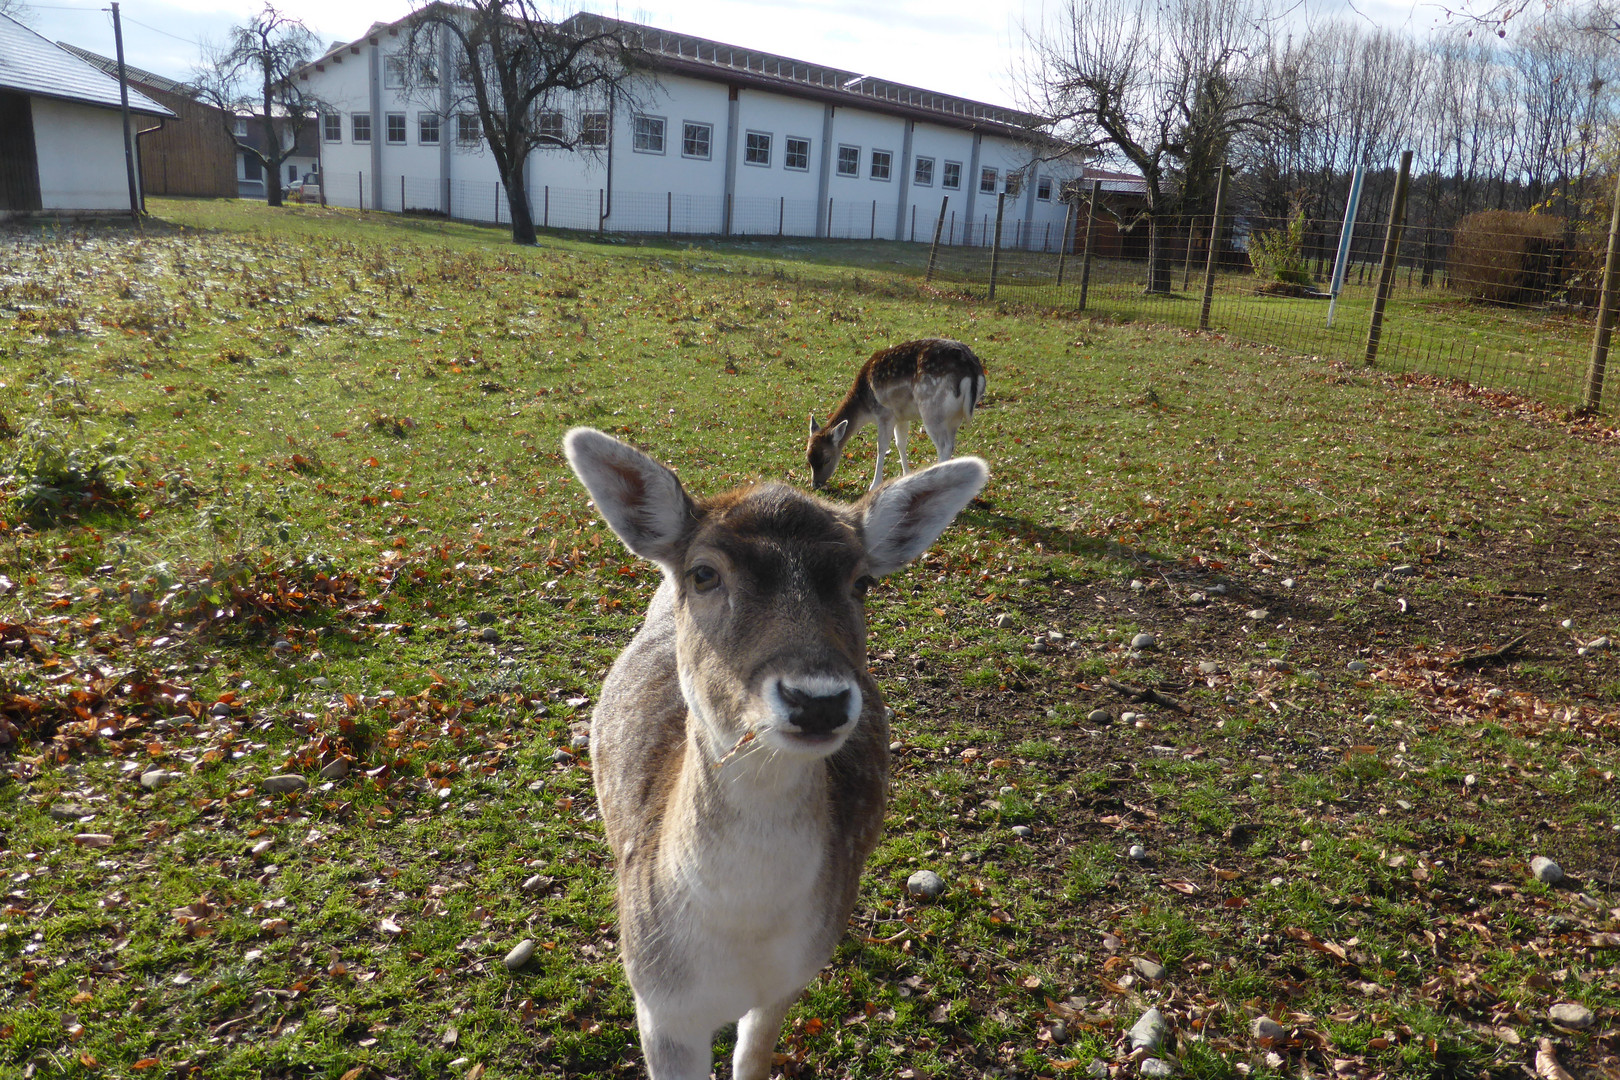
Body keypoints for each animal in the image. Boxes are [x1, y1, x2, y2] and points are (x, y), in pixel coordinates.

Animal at [557, 427, 984, 1080]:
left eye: (862, 582)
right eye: (704, 573)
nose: (818, 701)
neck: (740, 943)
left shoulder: (785, 982)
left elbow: (753, 1059)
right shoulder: (658, 1006)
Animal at [810, 338, 984, 488]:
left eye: (827, 459)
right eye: (809, 459)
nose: (815, 484)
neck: (865, 407)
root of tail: (971, 371)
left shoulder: (884, 414)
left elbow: (881, 447)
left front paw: (874, 485)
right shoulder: (901, 417)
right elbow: (900, 443)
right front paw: (906, 475)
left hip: (932, 410)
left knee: (944, 446)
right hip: (954, 417)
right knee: (951, 445)